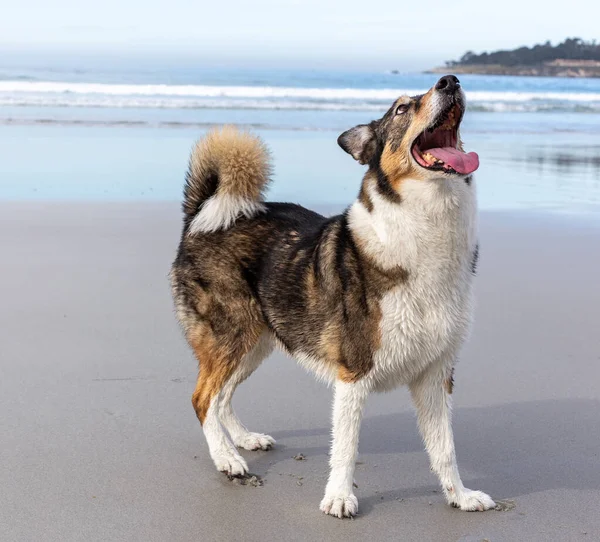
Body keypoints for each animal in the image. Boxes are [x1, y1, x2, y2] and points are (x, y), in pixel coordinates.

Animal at [169, 75, 492, 520]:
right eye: (402, 108)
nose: (450, 81)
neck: (424, 231)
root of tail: (201, 216)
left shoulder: (435, 375)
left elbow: (445, 449)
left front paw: (459, 496)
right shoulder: (354, 374)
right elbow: (346, 448)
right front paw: (339, 497)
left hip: (257, 341)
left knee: (221, 397)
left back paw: (244, 440)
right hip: (230, 335)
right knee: (202, 398)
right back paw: (227, 459)